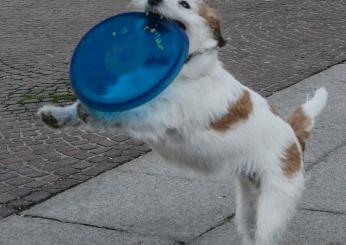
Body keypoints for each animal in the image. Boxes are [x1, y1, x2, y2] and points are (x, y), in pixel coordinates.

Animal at [37, 0, 328, 244]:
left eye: (185, 4)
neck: (186, 68)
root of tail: (294, 139)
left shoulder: (159, 114)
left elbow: (125, 112)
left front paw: (91, 112)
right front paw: (60, 115)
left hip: (273, 207)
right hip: (247, 207)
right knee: (249, 232)